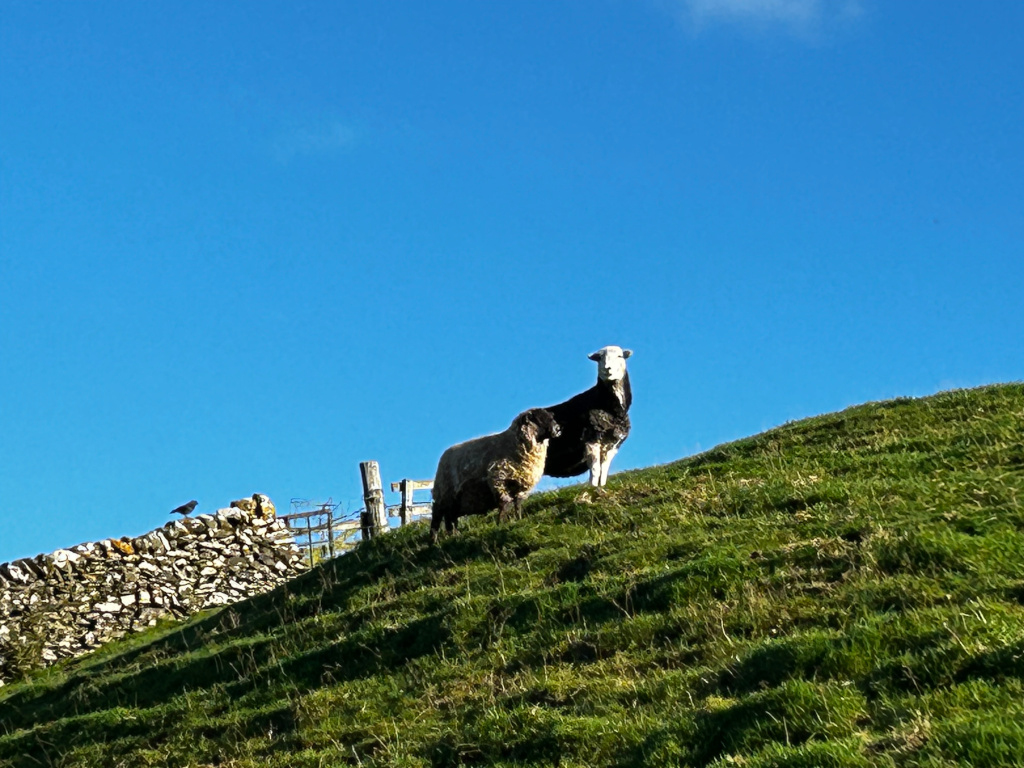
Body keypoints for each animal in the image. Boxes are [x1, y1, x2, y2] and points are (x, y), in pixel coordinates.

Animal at [431, 408, 561, 541]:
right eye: (539, 418)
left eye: (550, 416)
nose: (557, 429)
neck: (513, 443)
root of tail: (443, 457)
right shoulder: (499, 480)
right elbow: (504, 504)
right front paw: (500, 524)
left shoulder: (521, 486)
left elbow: (517, 505)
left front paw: (519, 519)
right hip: (444, 495)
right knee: (437, 517)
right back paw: (435, 540)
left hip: (454, 500)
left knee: (450, 519)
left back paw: (453, 536)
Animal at [543, 345, 632, 488]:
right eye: (599, 358)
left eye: (620, 356)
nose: (607, 368)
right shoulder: (591, 440)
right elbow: (595, 470)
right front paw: (593, 487)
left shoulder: (613, 445)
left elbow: (603, 470)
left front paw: (601, 486)